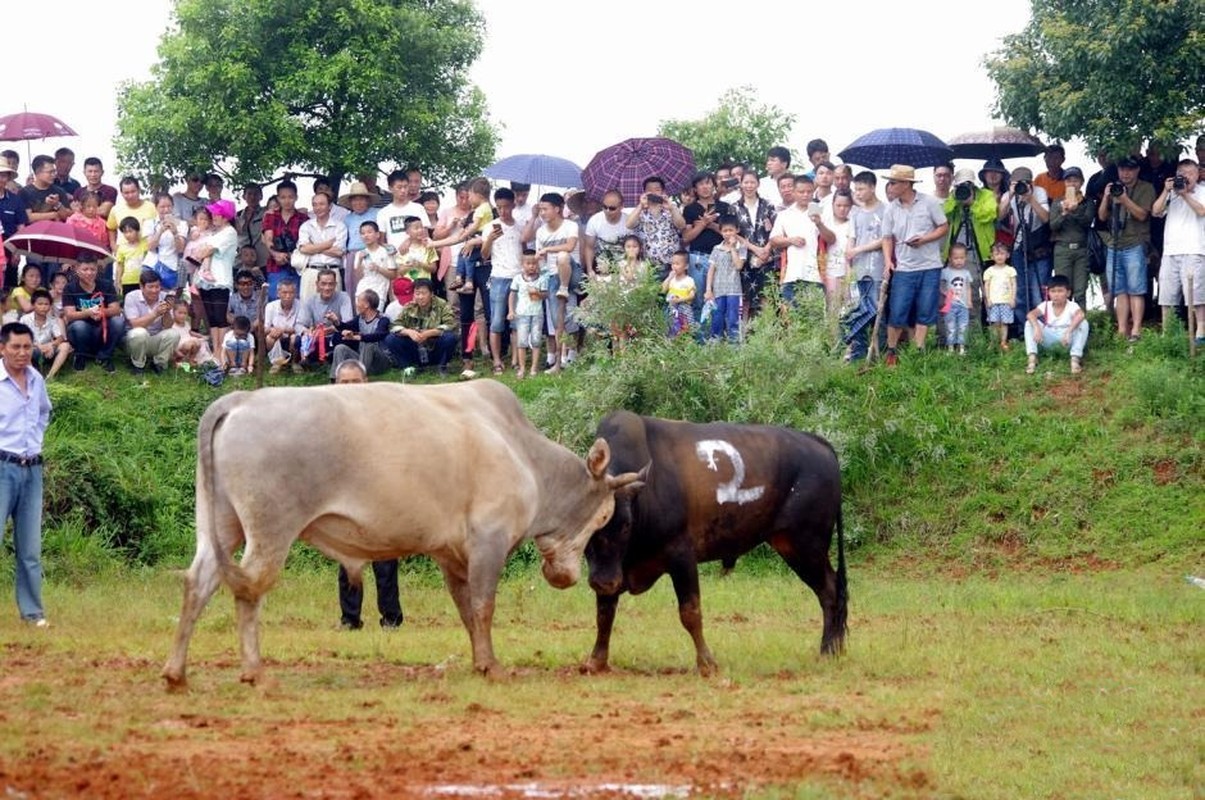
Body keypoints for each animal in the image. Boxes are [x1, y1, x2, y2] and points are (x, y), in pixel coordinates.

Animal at [583, 412, 848, 674]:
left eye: (626, 524)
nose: (604, 582)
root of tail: (817, 443)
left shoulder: (681, 556)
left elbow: (690, 612)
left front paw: (707, 663)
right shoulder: (612, 570)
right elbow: (604, 614)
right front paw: (596, 661)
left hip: (805, 546)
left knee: (830, 591)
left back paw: (828, 651)